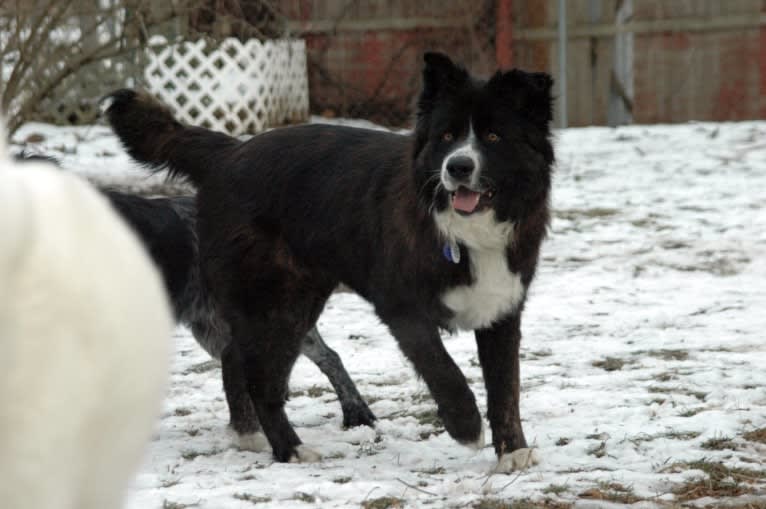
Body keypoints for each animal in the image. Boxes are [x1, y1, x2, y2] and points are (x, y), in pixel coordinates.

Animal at [105, 53, 556, 470]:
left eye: (494, 136)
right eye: (447, 135)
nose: (458, 166)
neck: (459, 230)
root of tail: (230, 152)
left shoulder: (501, 309)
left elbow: (505, 388)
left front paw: (512, 452)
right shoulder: (402, 308)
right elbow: (443, 369)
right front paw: (465, 425)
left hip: (292, 303)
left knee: (237, 360)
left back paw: (251, 436)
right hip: (278, 302)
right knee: (261, 380)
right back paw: (290, 449)